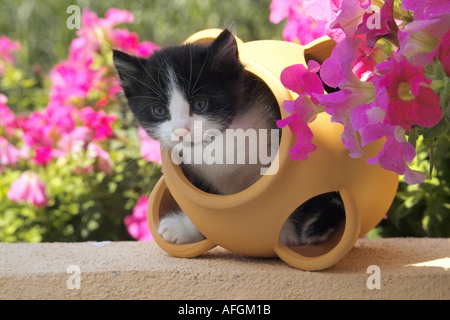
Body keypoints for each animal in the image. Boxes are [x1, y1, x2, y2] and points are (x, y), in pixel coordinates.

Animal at [113, 28, 344, 246]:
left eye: (200, 104)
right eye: (159, 111)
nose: (181, 131)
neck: (217, 142)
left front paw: (284, 233)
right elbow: (205, 207)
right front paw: (184, 228)